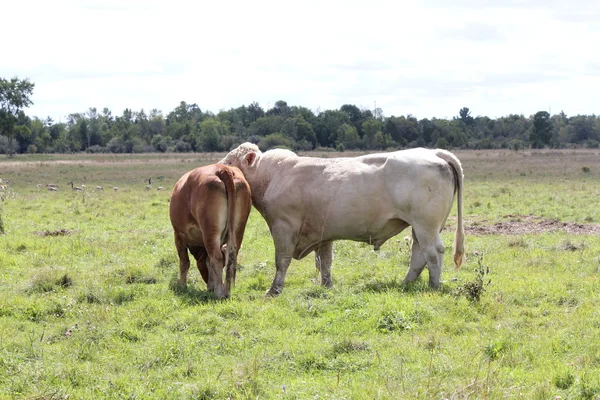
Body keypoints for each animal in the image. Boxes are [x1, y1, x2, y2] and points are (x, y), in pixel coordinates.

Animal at [169, 164, 251, 298]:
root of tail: (222, 169)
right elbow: (208, 262)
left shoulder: (179, 236)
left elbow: (184, 263)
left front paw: (182, 285)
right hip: (238, 229)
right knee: (231, 256)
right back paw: (227, 290)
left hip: (210, 231)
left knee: (216, 258)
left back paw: (219, 293)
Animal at [219, 142, 464, 296]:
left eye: (230, 161)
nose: (218, 167)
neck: (271, 176)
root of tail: (434, 153)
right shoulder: (323, 233)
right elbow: (325, 262)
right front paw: (327, 287)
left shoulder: (283, 227)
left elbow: (282, 261)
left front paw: (274, 290)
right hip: (419, 227)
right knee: (418, 253)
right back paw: (406, 283)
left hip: (426, 225)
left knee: (433, 252)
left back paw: (434, 285)